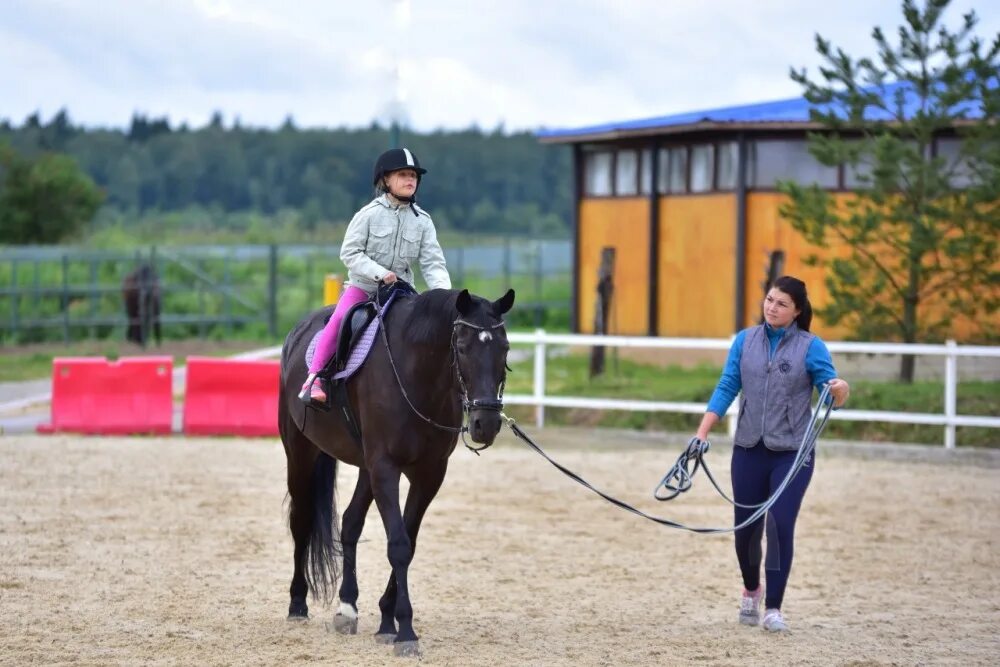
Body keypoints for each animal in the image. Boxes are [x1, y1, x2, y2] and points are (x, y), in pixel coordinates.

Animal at [280, 288, 516, 656]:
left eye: (504, 348)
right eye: (463, 348)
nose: (486, 423)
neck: (417, 374)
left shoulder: (429, 473)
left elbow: (409, 540)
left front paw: (386, 621)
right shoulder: (386, 468)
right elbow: (399, 545)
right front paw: (405, 630)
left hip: (364, 468)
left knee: (350, 523)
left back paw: (347, 608)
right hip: (301, 453)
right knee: (301, 521)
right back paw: (297, 604)